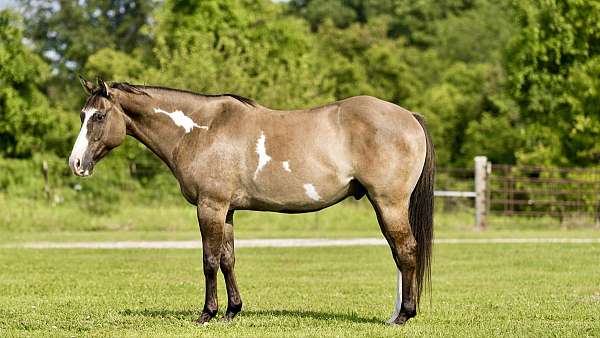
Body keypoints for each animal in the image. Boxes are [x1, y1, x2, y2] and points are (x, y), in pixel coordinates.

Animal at [70, 76, 434, 324]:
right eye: (82, 115)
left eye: (99, 117)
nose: (76, 163)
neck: (200, 131)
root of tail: (410, 116)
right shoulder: (226, 210)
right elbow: (228, 259)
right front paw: (232, 311)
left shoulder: (210, 206)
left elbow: (209, 260)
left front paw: (207, 313)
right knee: (399, 253)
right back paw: (396, 314)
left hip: (388, 203)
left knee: (406, 250)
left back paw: (404, 315)